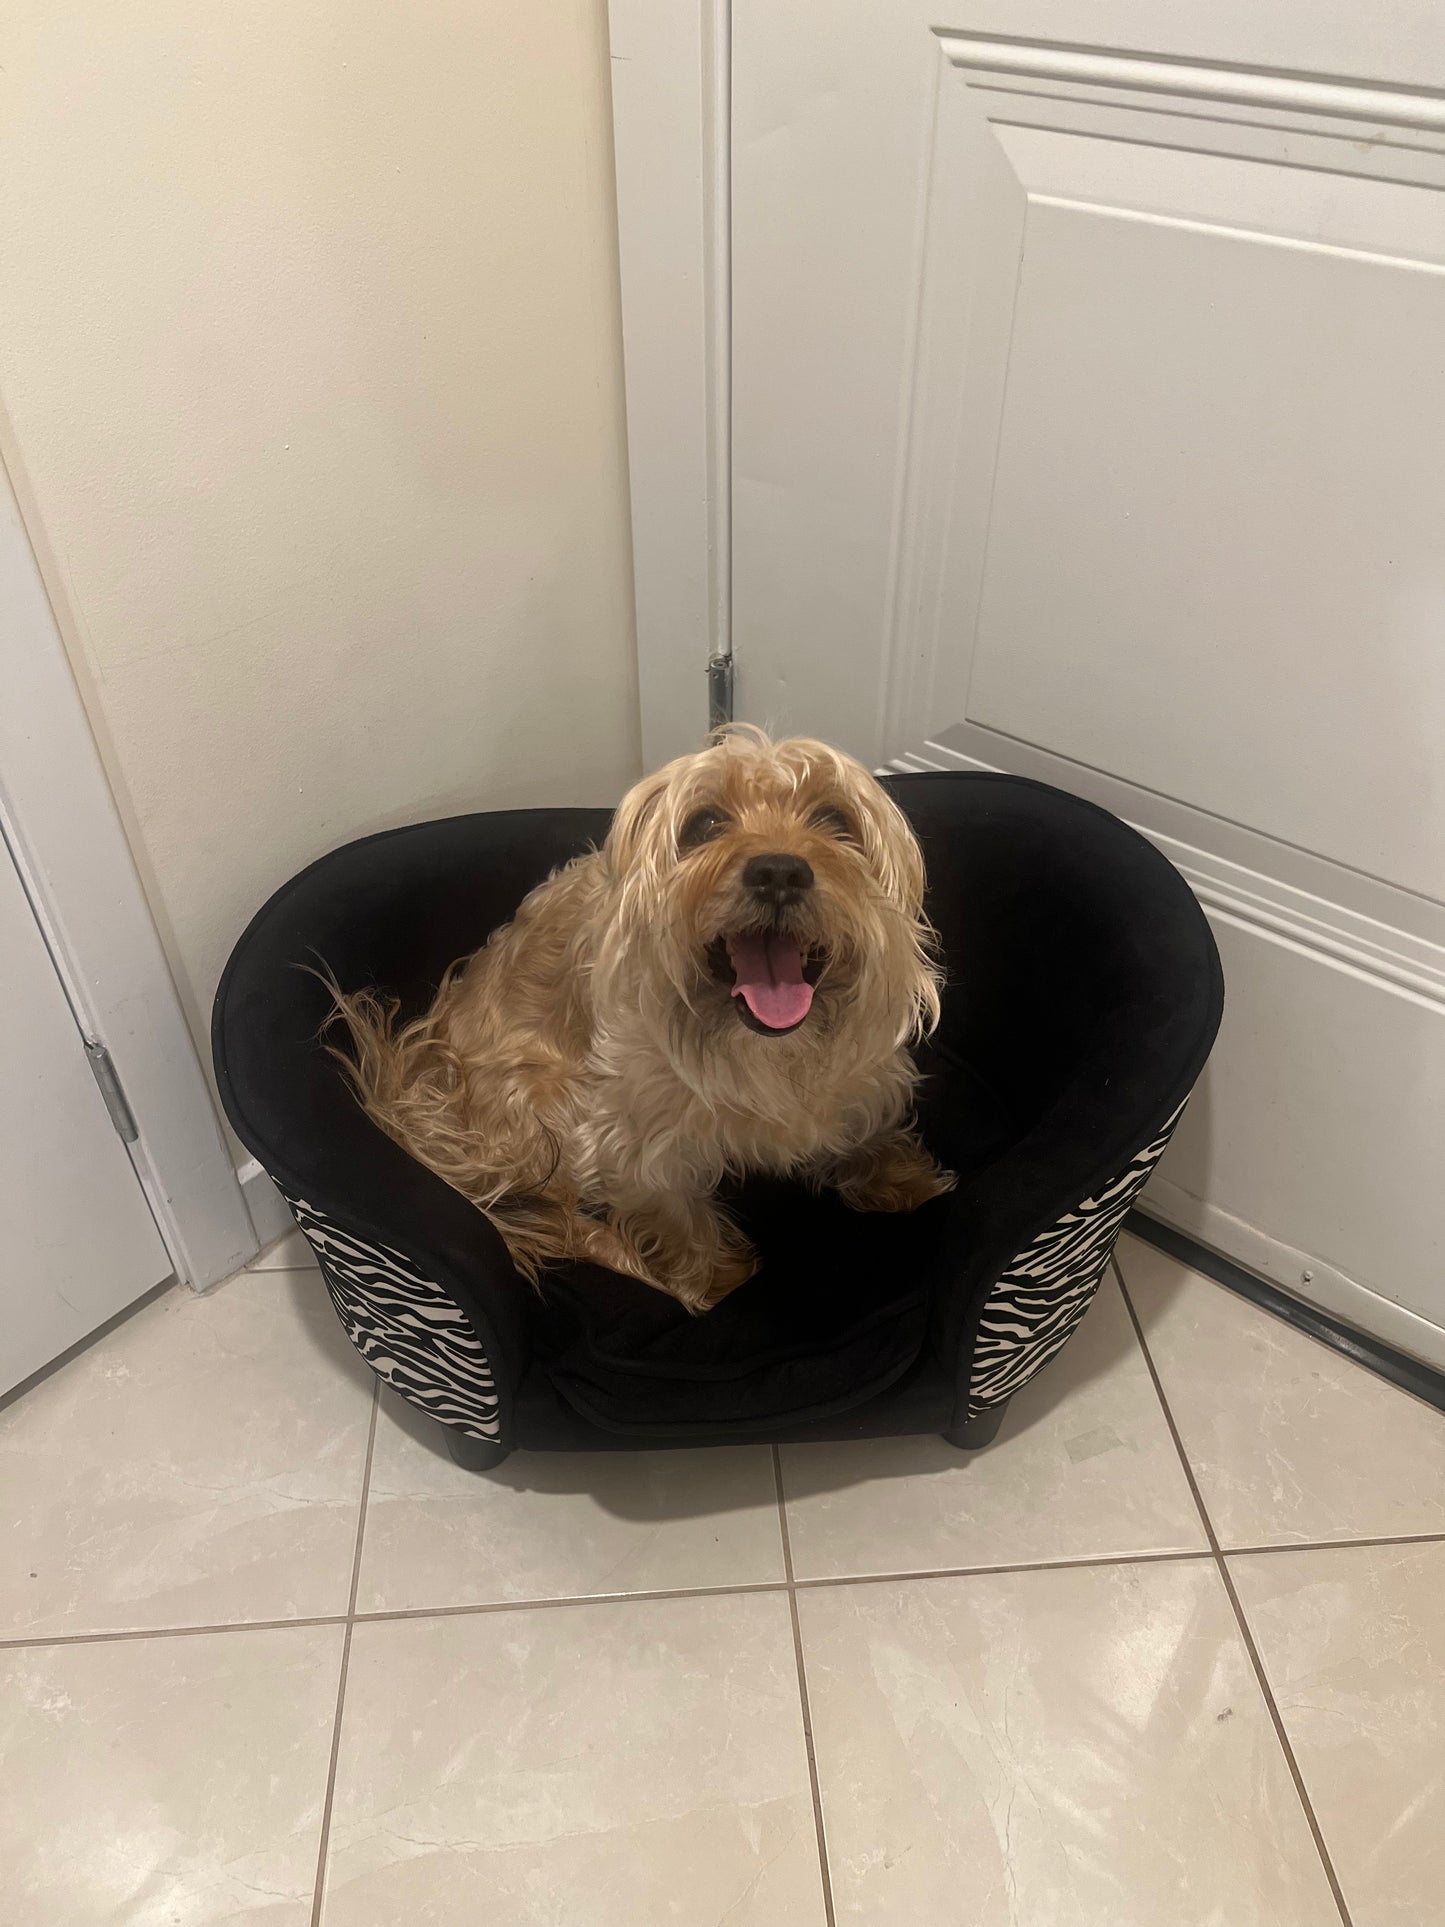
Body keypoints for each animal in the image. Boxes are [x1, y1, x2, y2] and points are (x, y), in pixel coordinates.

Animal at [327, 724, 951, 1310]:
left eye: (834, 818)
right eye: (704, 823)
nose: (779, 871)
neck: (765, 1049)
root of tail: (417, 1090)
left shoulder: (863, 1081)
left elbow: (869, 1134)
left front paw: (907, 1183)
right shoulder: (629, 1143)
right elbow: (676, 1221)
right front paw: (720, 1284)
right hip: (542, 1100)